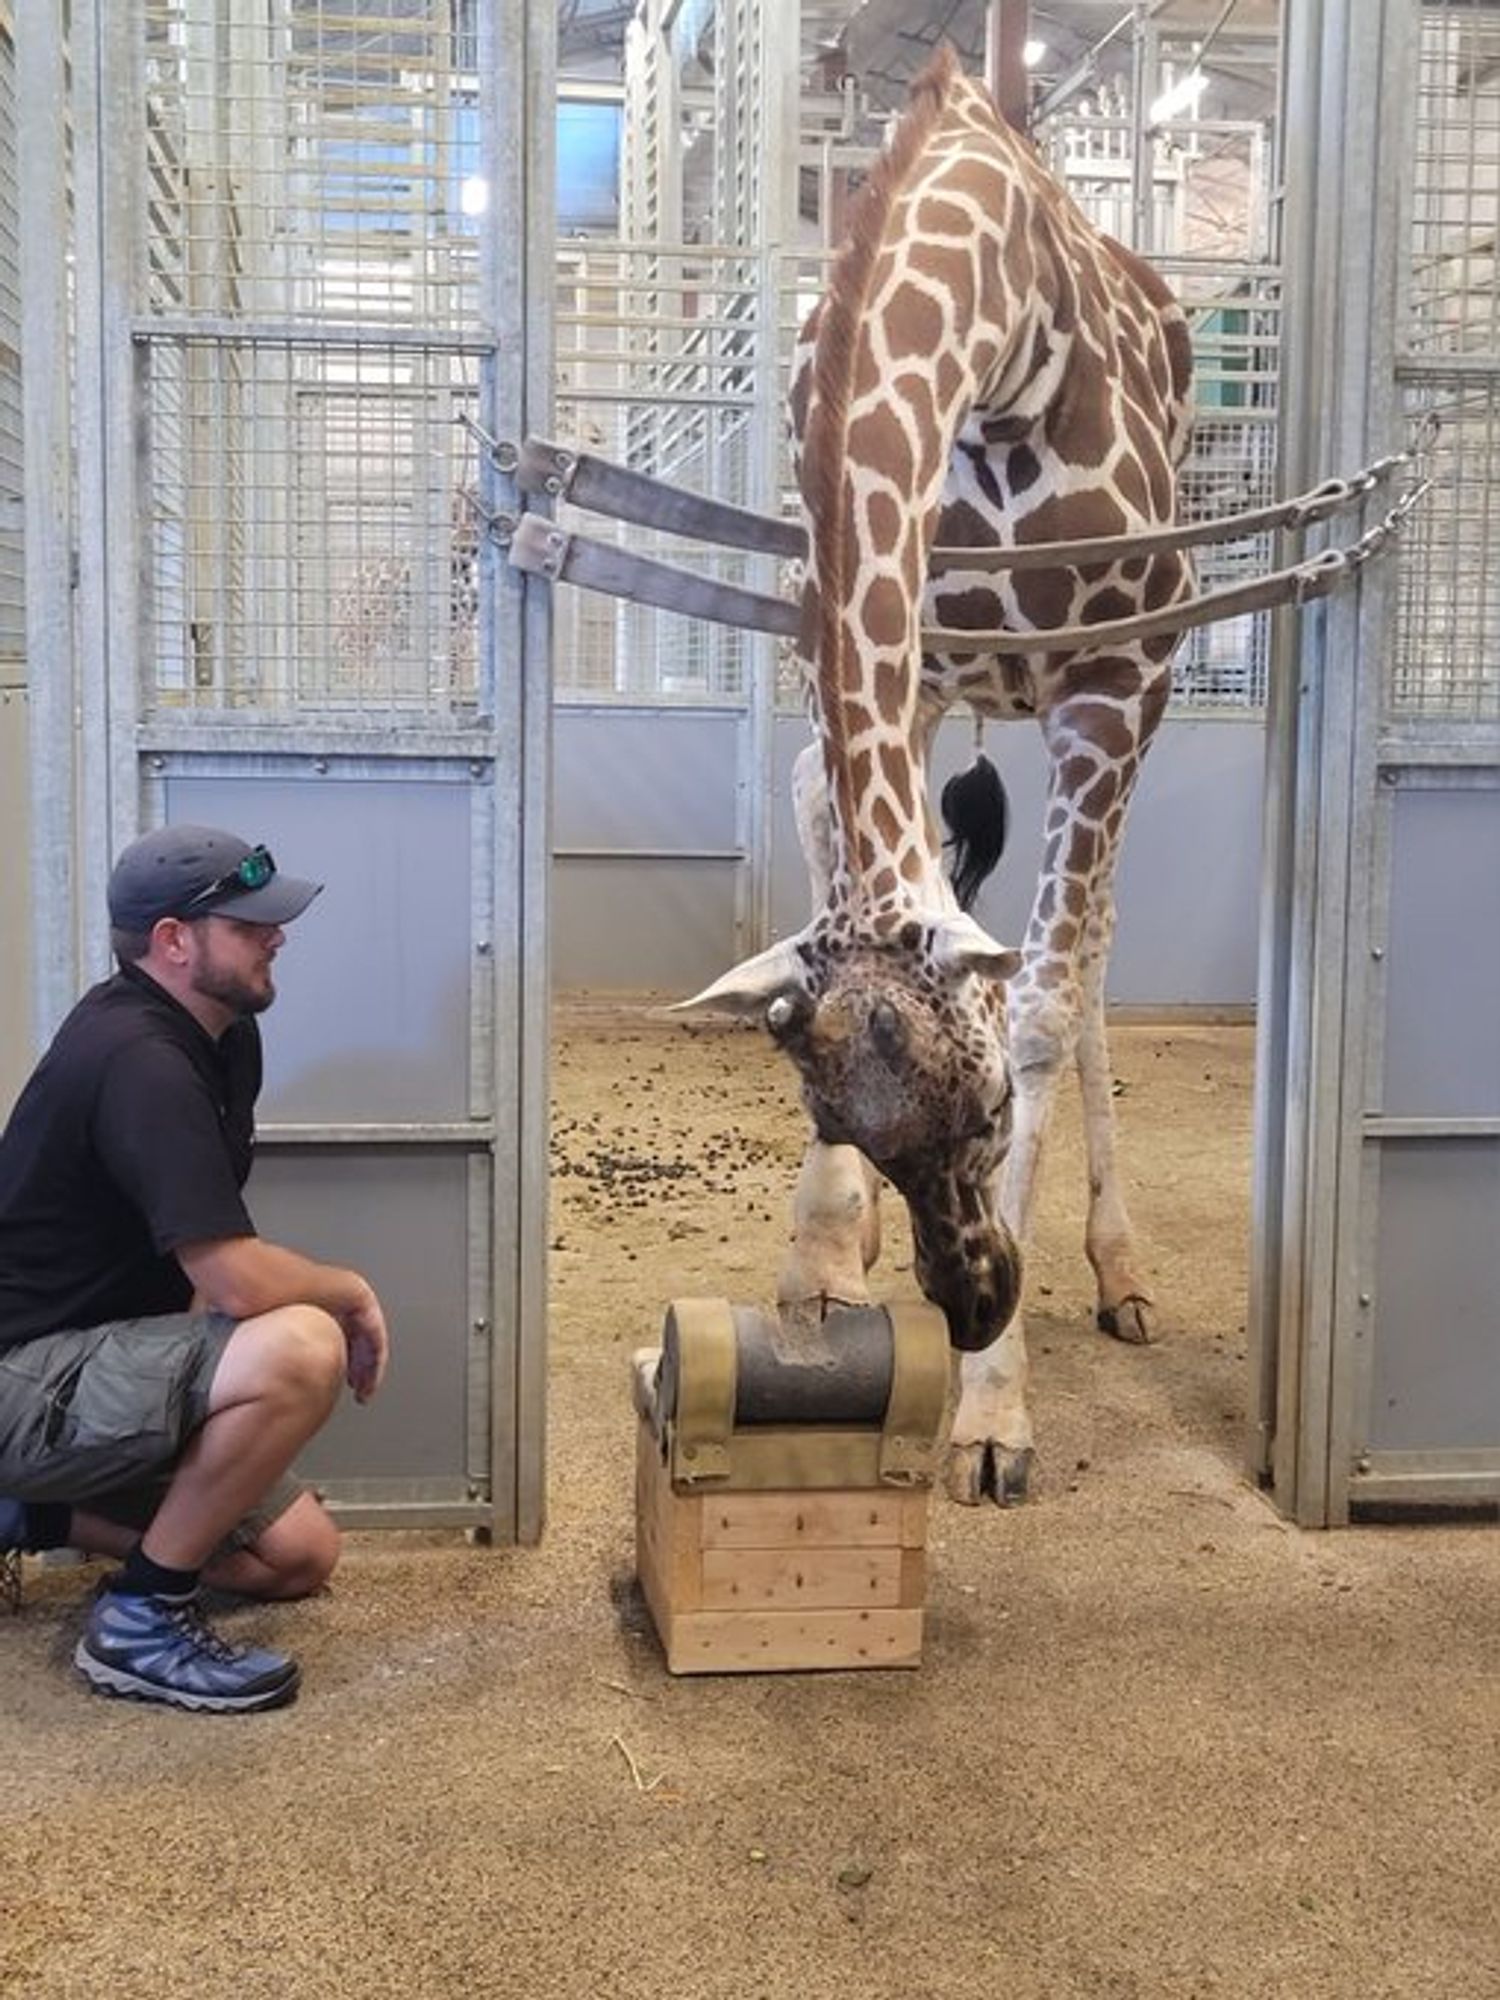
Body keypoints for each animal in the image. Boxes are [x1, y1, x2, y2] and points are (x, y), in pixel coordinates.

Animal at [680, 43, 1200, 1504]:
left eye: (986, 1115)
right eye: (849, 1124)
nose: (971, 1302)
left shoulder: (1114, 684)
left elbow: (1038, 1004)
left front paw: (992, 1417)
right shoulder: (897, 671)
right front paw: (819, 1258)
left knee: (1088, 954)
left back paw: (1122, 1273)